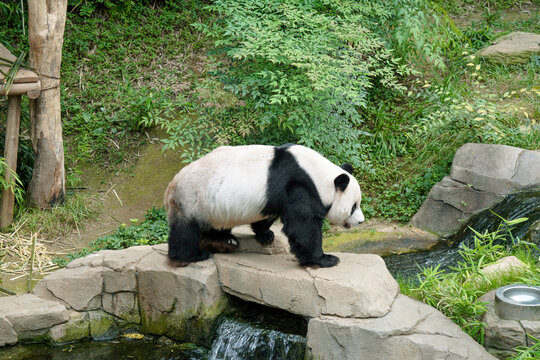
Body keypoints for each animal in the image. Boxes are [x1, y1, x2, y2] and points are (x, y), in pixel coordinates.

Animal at [165, 143, 364, 268]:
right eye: (354, 206)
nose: (361, 221)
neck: (318, 175)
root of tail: (171, 185)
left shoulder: (275, 195)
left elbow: (269, 214)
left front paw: (265, 235)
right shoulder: (300, 186)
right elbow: (303, 227)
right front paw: (325, 259)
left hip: (214, 205)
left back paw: (225, 241)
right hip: (192, 199)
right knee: (185, 231)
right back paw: (191, 256)